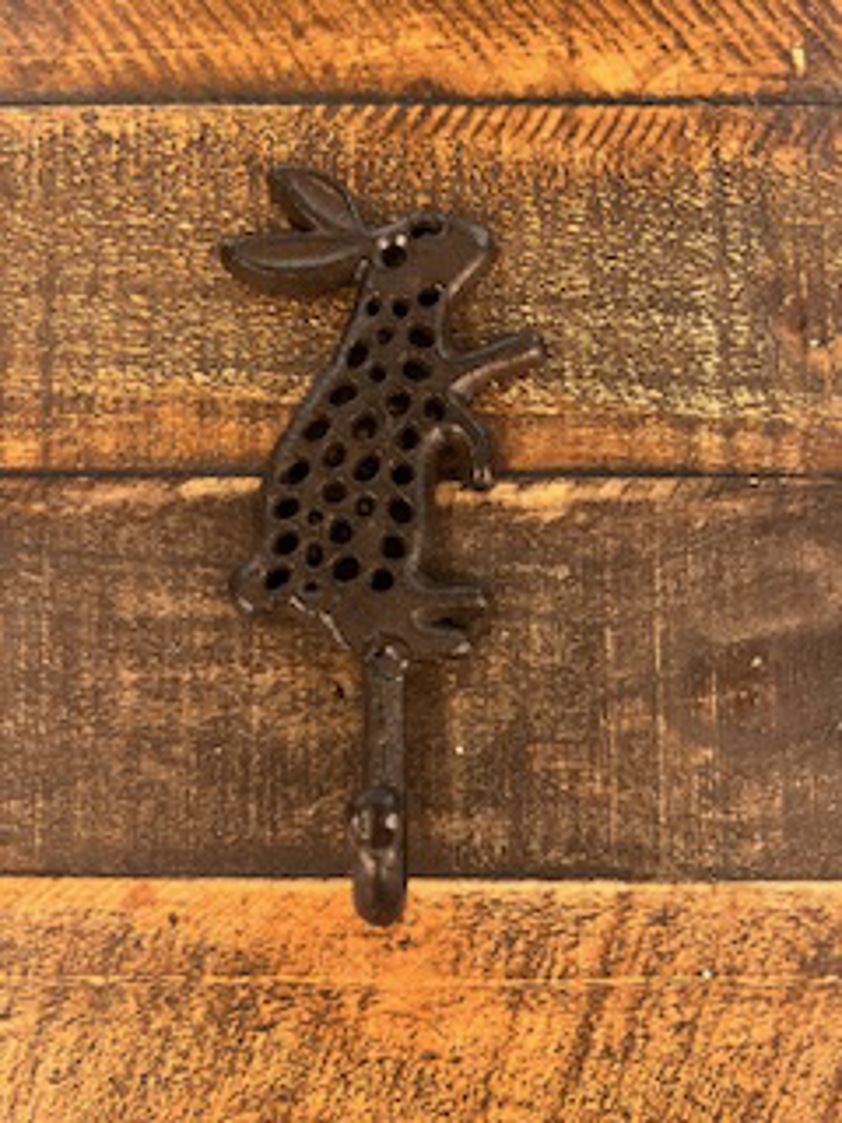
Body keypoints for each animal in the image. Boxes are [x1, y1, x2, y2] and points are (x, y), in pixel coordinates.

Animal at [220, 165, 545, 662]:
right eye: (427, 227)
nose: (482, 236)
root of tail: (276, 582)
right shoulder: (437, 391)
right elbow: (470, 408)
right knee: (366, 618)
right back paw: (436, 628)